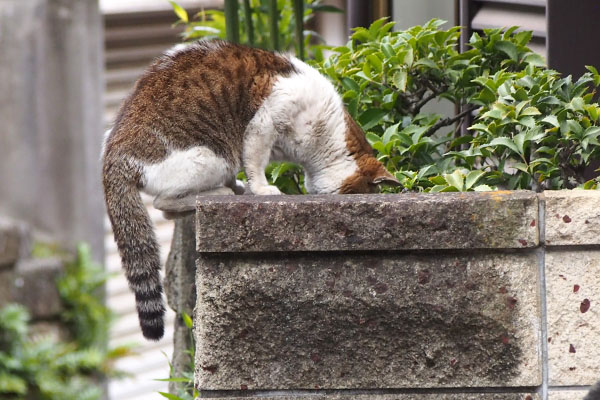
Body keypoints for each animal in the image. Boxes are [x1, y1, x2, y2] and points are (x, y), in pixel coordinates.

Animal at [101, 38, 400, 340]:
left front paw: (244, 187)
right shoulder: (264, 123)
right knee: (163, 203)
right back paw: (217, 193)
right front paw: (261, 189)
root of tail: (113, 156)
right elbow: (255, 161)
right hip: (213, 157)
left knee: (168, 212)